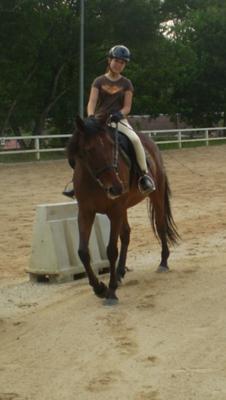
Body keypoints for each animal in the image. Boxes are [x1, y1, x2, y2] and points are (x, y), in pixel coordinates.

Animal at [66, 115, 179, 304]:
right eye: (89, 150)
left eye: (113, 146)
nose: (116, 188)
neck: (95, 181)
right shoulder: (85, 212)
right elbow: (83, 252)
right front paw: (99, 288)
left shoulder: (115, 210)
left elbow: (111, 250)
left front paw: (111, 291)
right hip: (124, 209)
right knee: (126, 234)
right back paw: (119, 272)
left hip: (155, 196)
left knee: (160, 225)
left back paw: (163, 262)